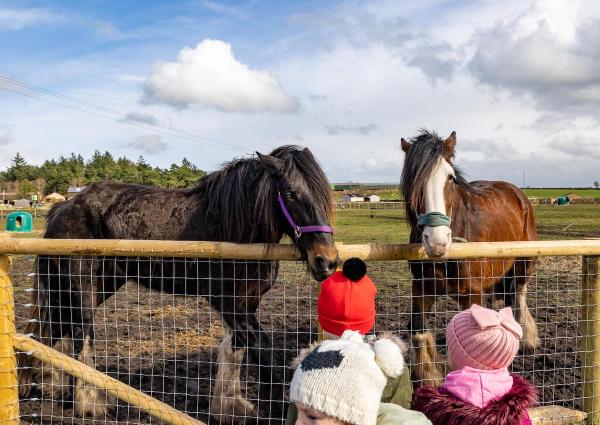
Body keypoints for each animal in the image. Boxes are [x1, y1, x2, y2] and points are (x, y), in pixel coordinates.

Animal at [19, 145, 338, 420]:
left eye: (324, 194)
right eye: (290, 193)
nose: (327, 261)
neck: (232, 228)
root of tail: (63, 208)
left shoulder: (246, 305)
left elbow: (237, 351)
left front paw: (230, 408)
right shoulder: (231, 305)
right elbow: (265, 353)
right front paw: (276, 410)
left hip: (96, 286)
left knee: (55, 332)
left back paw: (49, 387)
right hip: (83, 288)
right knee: (80, 336)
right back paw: (91, 404)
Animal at [400, 129, 536, 384]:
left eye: (450, 177)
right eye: (413, 181)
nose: (437, 241)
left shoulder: (472, 293)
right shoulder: (421, 287)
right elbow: (418, 330)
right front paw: (430, 376)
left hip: (524, 262)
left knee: (520, 293)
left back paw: (528, 338)